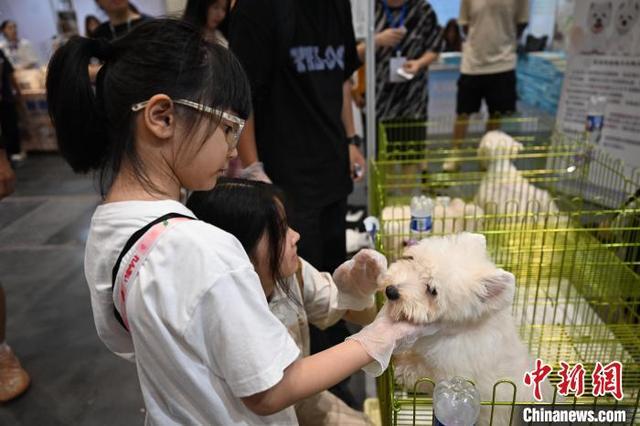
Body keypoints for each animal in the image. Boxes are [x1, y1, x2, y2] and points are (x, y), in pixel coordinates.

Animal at [380, 235, 552, 424]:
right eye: (411, 259)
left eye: (432, 290)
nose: (391, 291)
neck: (453, 331)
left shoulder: (447, 370)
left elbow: (422, 373)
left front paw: (402, 369)